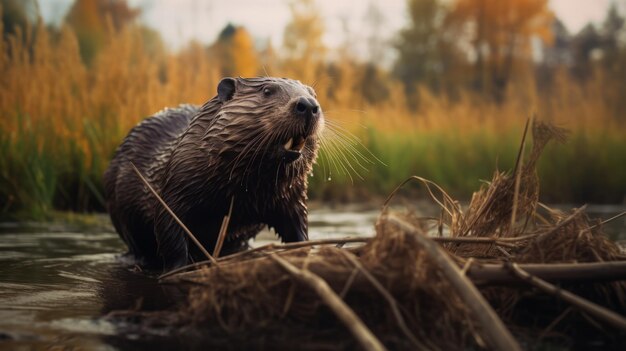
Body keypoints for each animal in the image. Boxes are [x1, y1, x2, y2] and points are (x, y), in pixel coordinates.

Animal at [102, 77, 322, 270]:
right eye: (267, 90)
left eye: (313, 93)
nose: (308, 105)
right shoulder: (176, 183)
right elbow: (169, 226)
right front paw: (178, 269)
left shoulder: (291, 194)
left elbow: (297, 226)